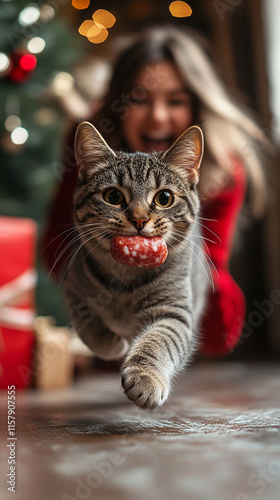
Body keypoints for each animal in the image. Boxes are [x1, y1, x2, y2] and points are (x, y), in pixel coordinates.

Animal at [62, 122, 209, 410]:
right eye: (112, 196)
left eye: (164, 198)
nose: (140, 220)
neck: (126, 273)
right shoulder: (73, 293)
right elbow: (89, 326)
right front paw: (112, 345)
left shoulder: (173, 312)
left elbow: (158, 342)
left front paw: (146, 378)